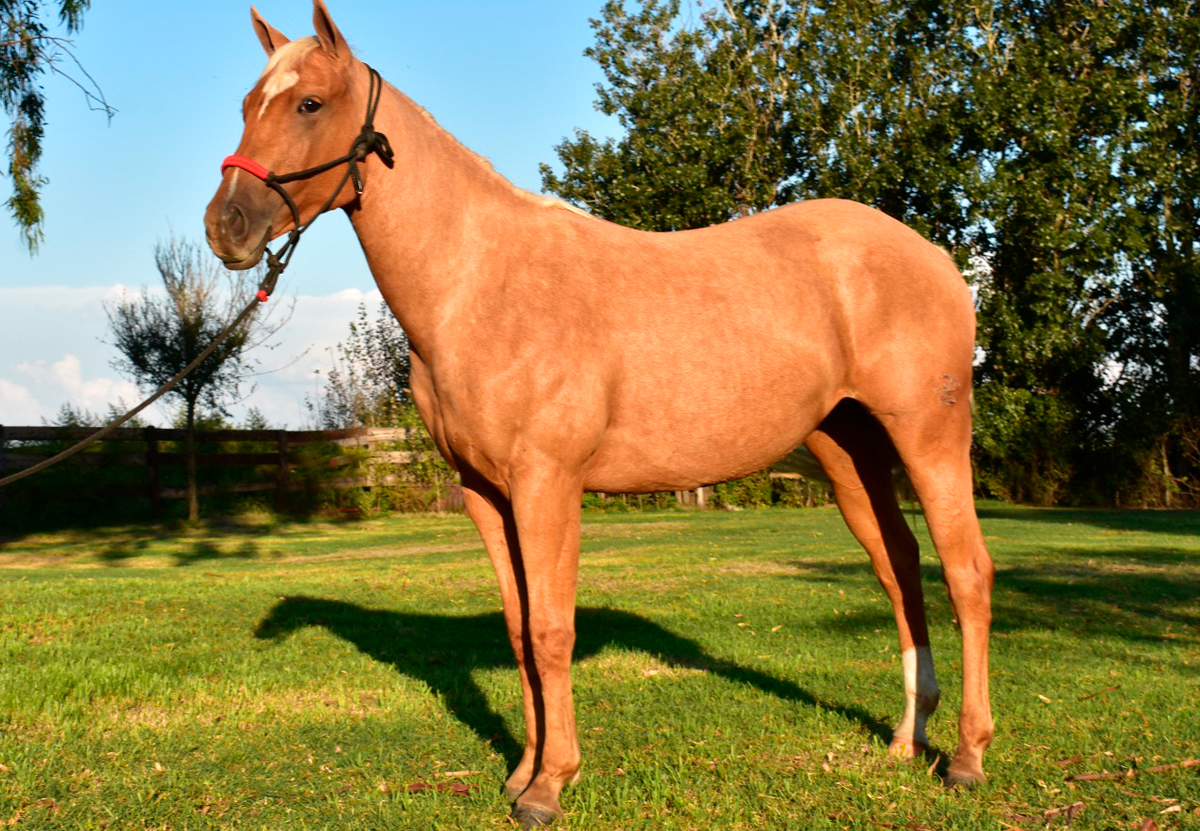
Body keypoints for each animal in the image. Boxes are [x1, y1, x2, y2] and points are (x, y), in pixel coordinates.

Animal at [204, 3, 995, 826]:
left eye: (309, 104)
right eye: (246, 104)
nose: (226, 226)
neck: (482, 285)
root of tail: (938, 259)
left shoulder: (548, 483)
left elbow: (553, 629)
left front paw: (550, 786)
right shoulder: (486, 495)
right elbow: (520, 630)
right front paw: (522, 773)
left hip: (930, 439)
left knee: (966, 572)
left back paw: (966, 758)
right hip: (850, 454)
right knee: (899, 569)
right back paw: (907, 738)